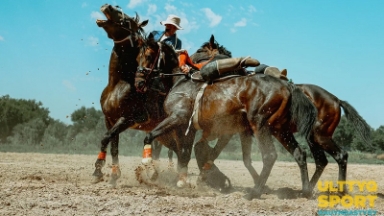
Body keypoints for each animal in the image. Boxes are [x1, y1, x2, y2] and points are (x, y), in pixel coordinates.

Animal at [136, 33, 316, 200]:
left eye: (149, 56)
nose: (138, 83)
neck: (181, 81)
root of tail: (287, 86)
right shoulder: (190, 128)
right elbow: (186, 153)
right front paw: (183, 180)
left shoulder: (178, 118)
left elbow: (150, 136)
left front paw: (148, 166)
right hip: (280, 130)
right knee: (299, 153)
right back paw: (305, 191)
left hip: (260, 125)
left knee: (269, 156)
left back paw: (254, 192)